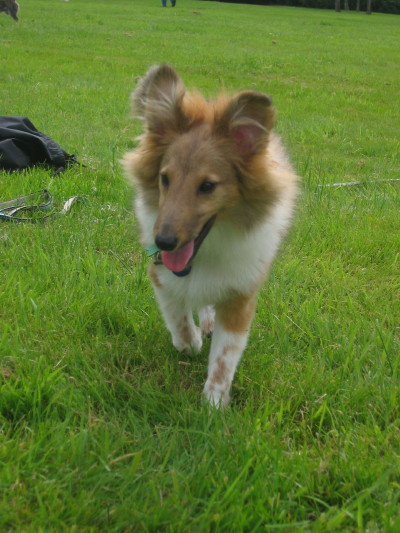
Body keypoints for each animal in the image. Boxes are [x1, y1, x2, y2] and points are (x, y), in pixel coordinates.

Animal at [123, 65, 299, 407]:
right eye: (165, 178)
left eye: (207, 186)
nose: (164, 242)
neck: (207, 250)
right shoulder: (160, 275)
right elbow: (177, 317)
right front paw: (189, 344)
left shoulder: (241, 294)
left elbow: (225, 356)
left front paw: (214, 403)